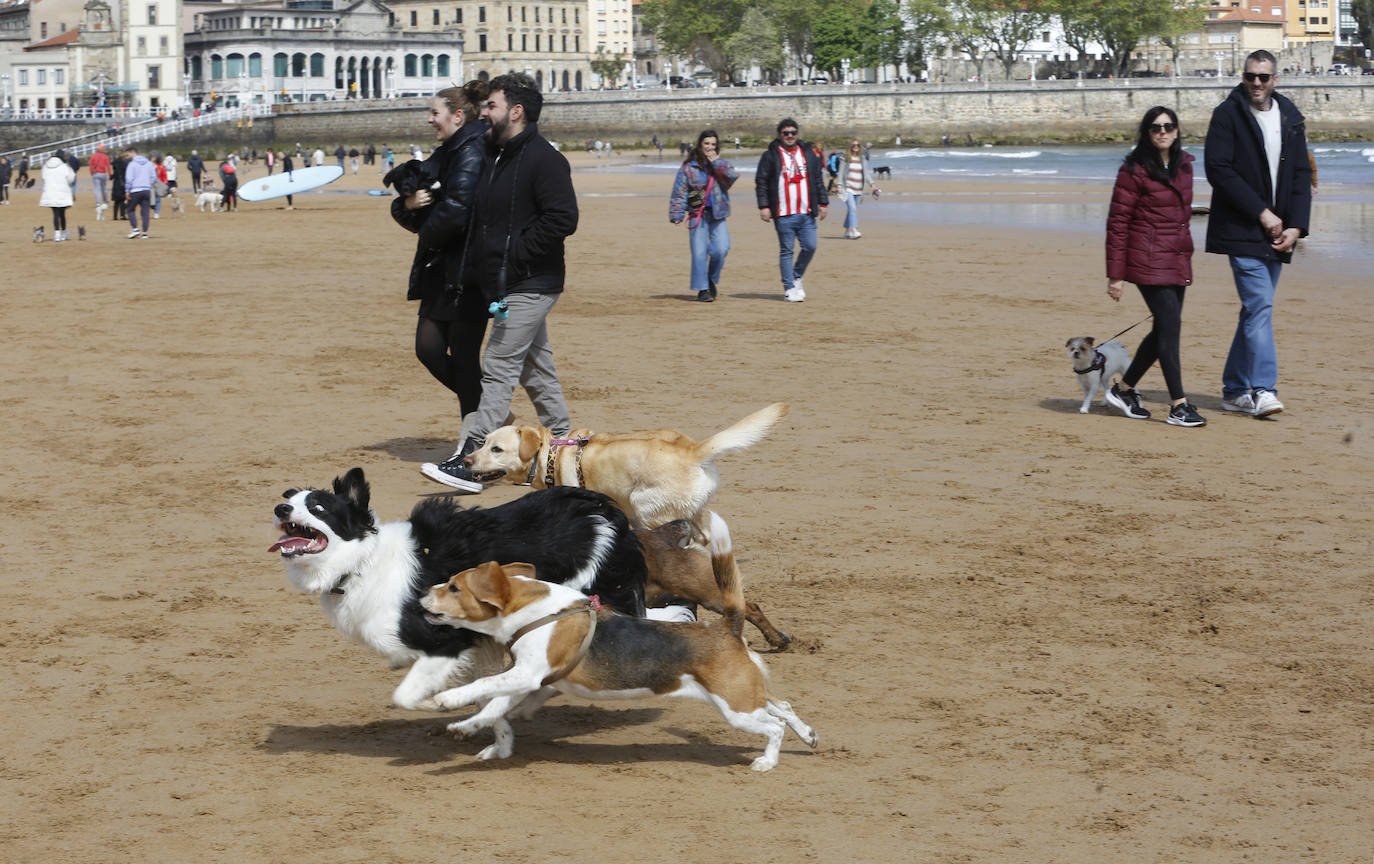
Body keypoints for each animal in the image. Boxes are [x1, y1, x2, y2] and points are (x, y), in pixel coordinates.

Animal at [274, 467, 654, 708]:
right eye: (290, 498)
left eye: (318, 507)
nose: (280, 507)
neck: (361, 562)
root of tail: (604, 509)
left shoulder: (444, 641)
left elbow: (405, 697)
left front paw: (437, 704)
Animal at [420, 560, 813, 769]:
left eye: (454, 588)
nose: (421, 594)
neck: (536, 611)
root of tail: (726, 627)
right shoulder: (528, 681)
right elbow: (495, 711)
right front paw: (489, 740)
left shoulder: (527, 674)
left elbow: (483, 689)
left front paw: (450, 702)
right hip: (746, 695)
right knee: (784, 706)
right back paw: (808, 735)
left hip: (737, 709)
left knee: (775, 725)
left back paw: (767, 761)